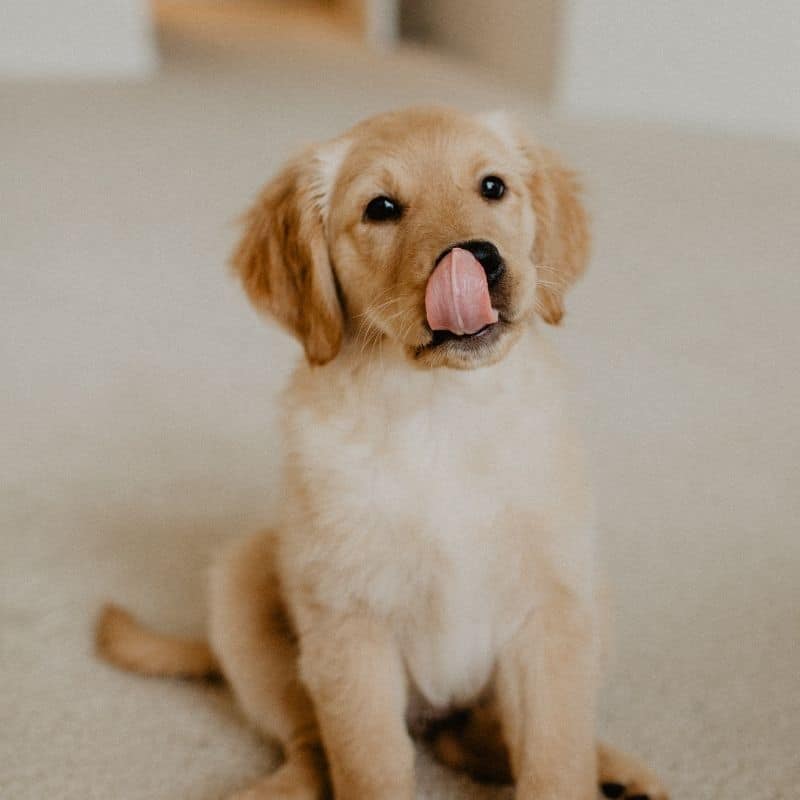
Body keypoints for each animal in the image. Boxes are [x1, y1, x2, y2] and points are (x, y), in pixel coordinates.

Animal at [95, 108, 668, 800]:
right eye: (383, 208)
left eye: (494, 187)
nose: (478, 258)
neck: (441, 411)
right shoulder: (349, 624)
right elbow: (369, 761)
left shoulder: (550, 611)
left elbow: (555, 757)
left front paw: (579, 769)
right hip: (243, 584)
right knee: (313, 743)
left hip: (592, 599)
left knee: (483, 736)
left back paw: (615, 772)